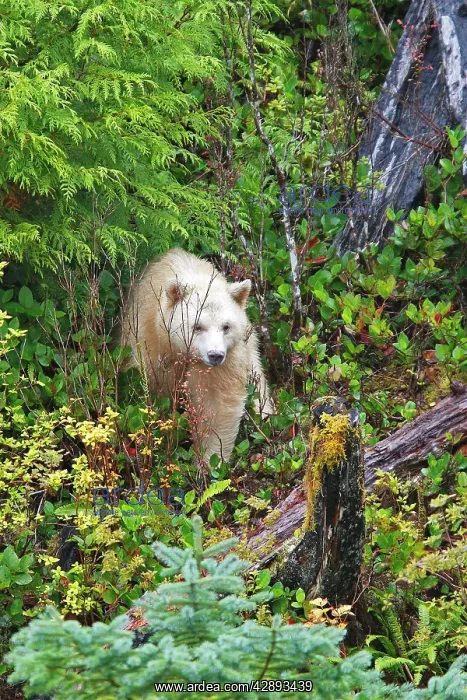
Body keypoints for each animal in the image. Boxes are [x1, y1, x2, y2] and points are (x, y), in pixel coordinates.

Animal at [121, 248, 274, 461]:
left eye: (226, 326)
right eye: (197, 326)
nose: (215, 355)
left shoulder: (227, 359)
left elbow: (217, 401)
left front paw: (210, 459)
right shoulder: (147, 339)